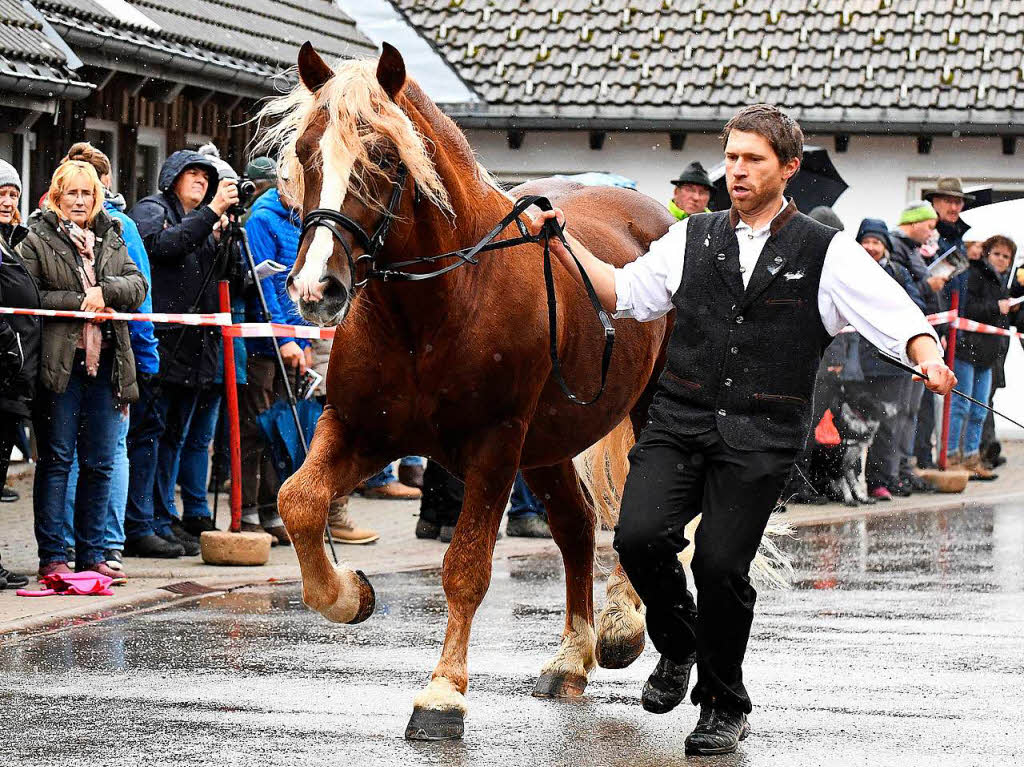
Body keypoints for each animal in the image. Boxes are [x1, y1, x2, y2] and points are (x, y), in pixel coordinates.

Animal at [266, 43, 671, 741]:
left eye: (383, 157)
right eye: (308, 151)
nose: (317, 288)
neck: (432, 313)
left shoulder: (494, 446)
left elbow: (466, 567)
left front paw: (442, 695)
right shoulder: (358, 427)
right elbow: (300, 502)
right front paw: (348, 594)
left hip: (636, 417)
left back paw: (622, 628)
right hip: (548, 446)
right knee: (575, 527)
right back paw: (572, 657)